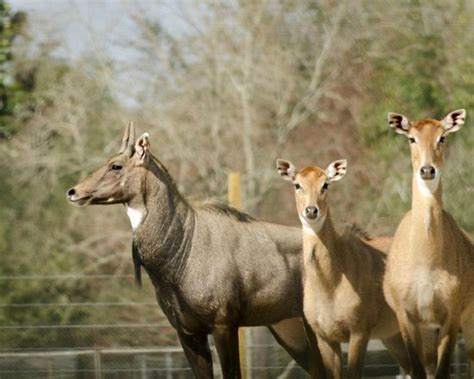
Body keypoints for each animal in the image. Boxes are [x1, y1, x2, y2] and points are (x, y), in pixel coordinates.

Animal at [66, 123, 326, 378]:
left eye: (116, 165)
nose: (73, 191)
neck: (183, 249)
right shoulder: (188, 332)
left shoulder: (223, 325)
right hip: (290, 328)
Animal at [276, 160, 410, 379]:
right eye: (297, 185)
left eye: (325, 184)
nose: (311, 210)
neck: (330, 284)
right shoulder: (325, 336)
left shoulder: (359, 330)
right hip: (394, 336)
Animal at [384, 108, 474, 378]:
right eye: (411, 138)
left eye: (442, 137)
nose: (427, 170)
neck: (427, 262)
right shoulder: (407, 315)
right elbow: (419, 371)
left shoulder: (451, 314)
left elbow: (444, 371)